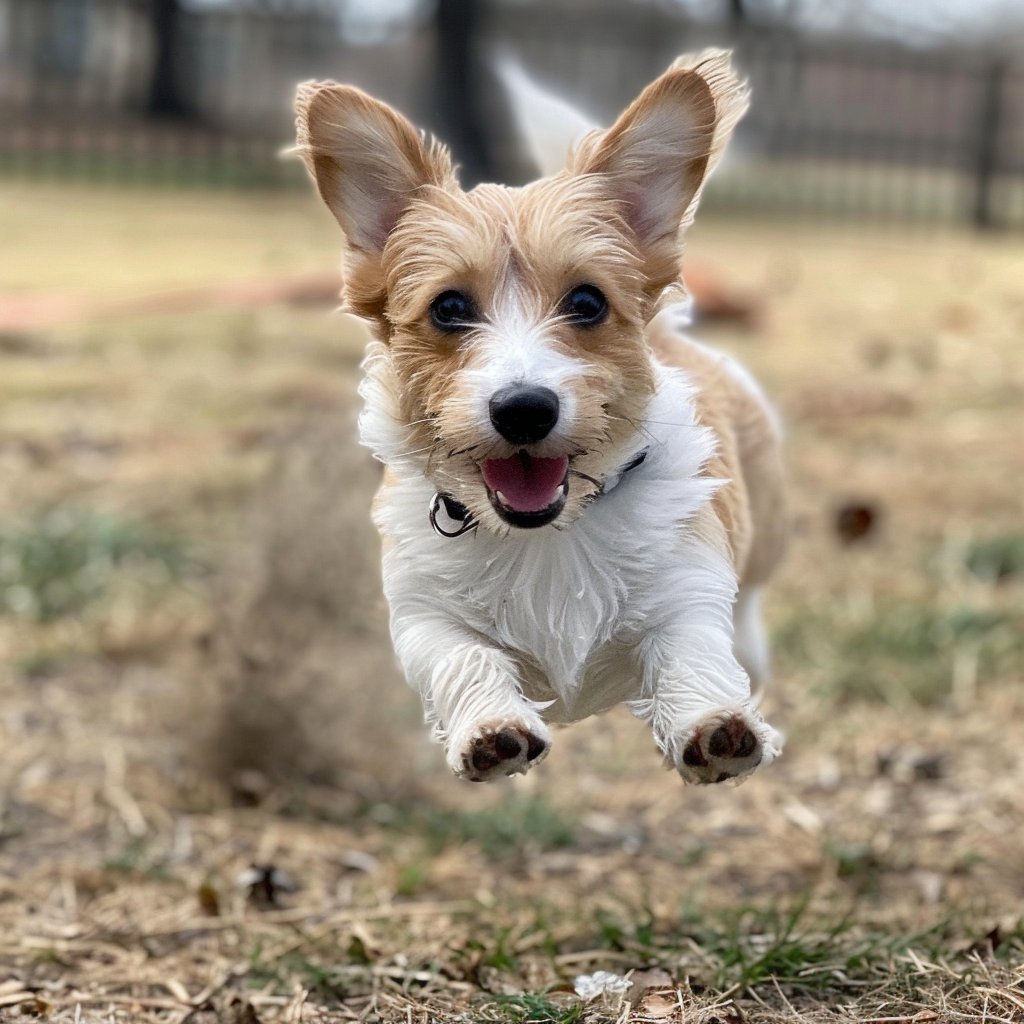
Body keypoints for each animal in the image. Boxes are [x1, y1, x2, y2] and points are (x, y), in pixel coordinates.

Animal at [292, 49, 786, 782]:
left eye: (587, 302)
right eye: (449, 308)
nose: (524, 410)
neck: (548, 535)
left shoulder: (687, 589)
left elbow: (690, 653)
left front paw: (714, 725)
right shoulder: (421, 616)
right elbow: (465, 656)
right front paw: (491, 730)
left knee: (749, 608)